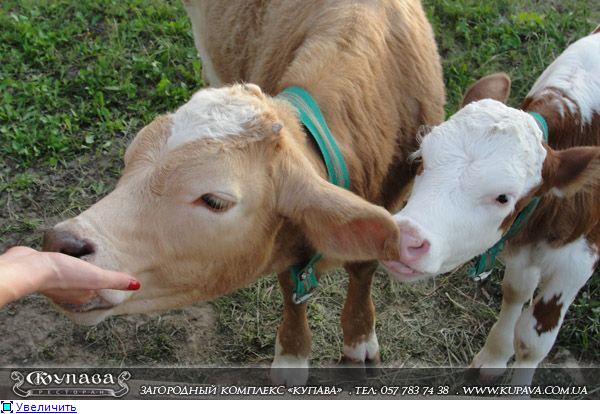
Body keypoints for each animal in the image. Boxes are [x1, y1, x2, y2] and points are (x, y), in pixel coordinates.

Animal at [41, 0, 445, 384]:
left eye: (215, 201)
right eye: (127, 162)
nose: (62, 245)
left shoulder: (392, 198)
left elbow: (364, 267)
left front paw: (359, 340)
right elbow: (291, 288)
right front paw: (292, 356)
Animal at [383, 29, 600, 385]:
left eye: (503, 198)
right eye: (422, 159)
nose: (405, 238)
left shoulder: (578, 260)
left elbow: (532, 341)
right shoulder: (522, 242)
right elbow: (515, 292)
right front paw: (494, 355)